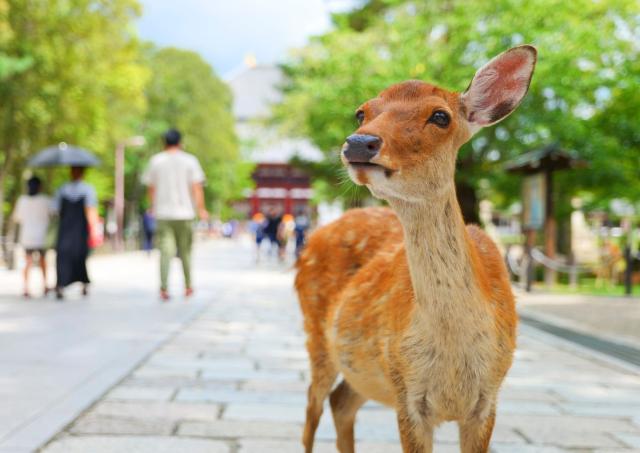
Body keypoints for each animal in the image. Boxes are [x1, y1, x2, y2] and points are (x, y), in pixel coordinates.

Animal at [296, 46, 536, 452]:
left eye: (440, 116)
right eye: (362, 111)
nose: (358, 142)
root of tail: (311, 240)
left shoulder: (487, 399)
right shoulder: (407, 392)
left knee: (341, 401)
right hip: (317, 334)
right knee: (312, 409)